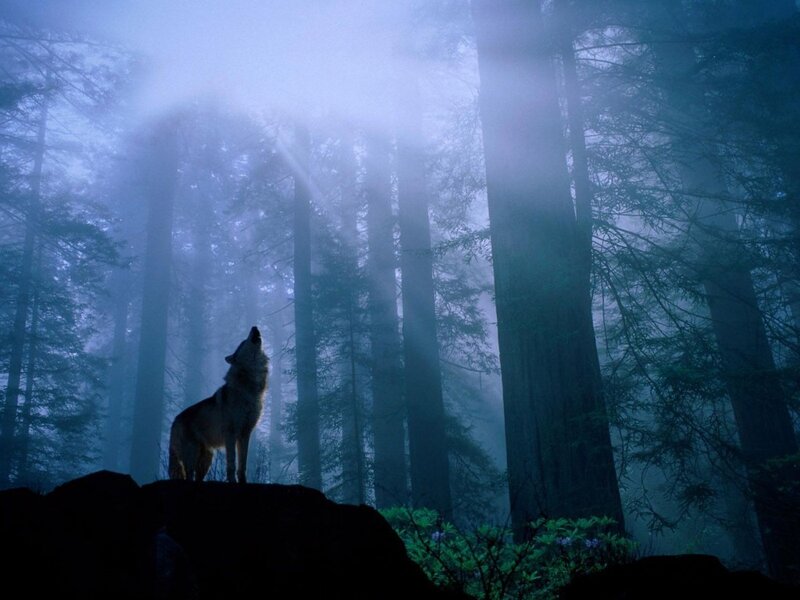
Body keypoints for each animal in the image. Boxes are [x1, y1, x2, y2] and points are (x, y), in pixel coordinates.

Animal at [168, 326, 269, 483]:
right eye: (242, 342)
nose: (255, 327)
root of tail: (175, 420)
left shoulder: (245, 434)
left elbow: (242, 465)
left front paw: (243, 482)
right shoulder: (231, 434)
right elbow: (232, 464)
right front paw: (232, 481)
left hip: (206, 460)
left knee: (197, 478)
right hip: (191, 457)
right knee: (189, 476)